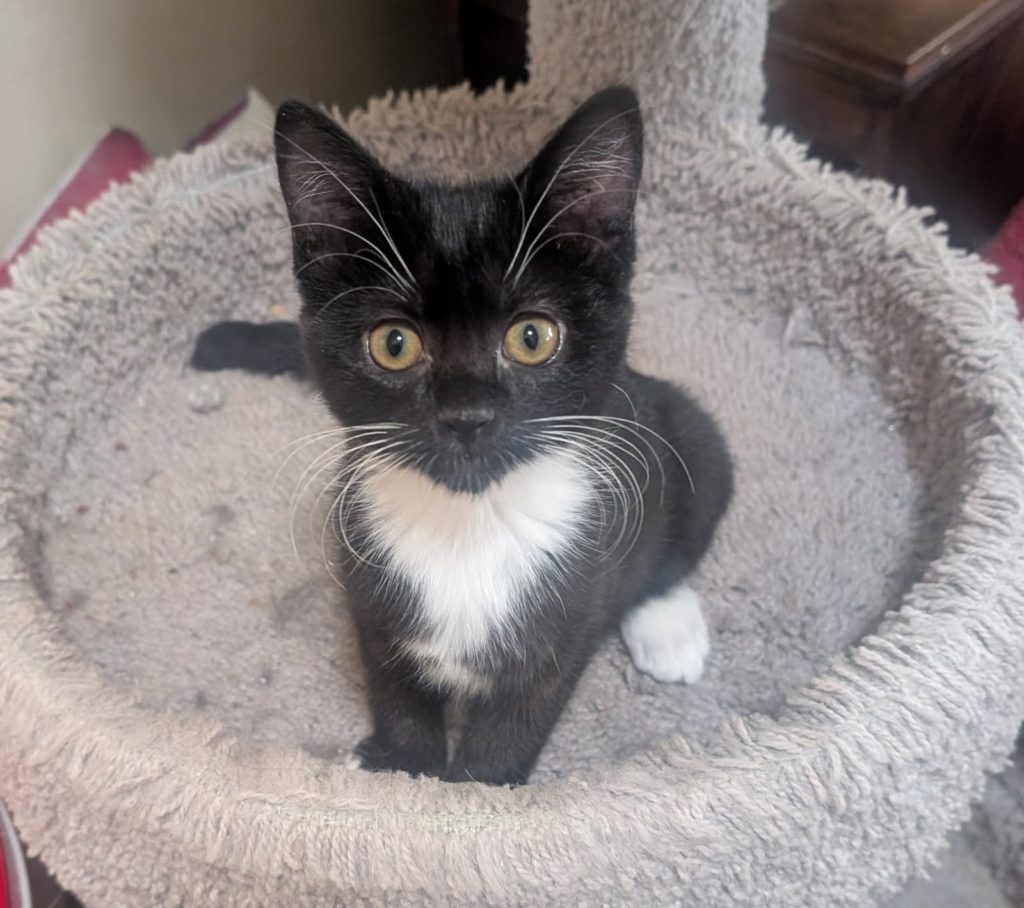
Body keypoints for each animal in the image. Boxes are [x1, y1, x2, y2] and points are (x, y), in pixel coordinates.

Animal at [192, 85, 733, 786]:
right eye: (394, 344)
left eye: (532, 337)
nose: (467, 415)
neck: (468, 523)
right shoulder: (368, 585)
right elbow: (395, 688)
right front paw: (401, 771)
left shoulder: (568, 618)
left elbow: (514, 726)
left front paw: (477, 793)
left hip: (690, 439)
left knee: (676, 542)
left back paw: (669, 629)